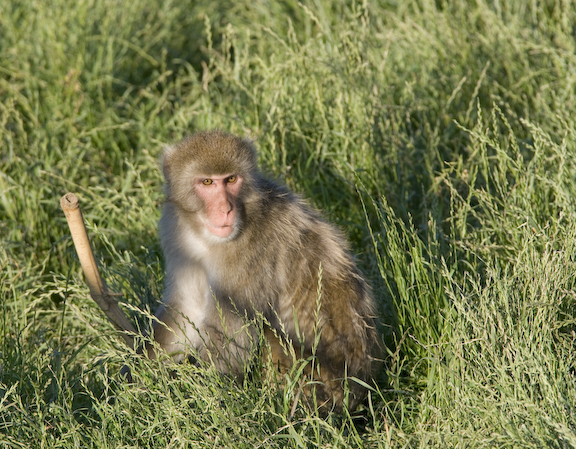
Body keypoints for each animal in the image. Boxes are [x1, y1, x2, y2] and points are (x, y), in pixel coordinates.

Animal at [151, 129, 380, 410]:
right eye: (207, 182)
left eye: (231, 179)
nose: (225, 209)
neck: (206, 237)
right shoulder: (176, 233)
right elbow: (185, 309)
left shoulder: (250, 253)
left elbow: (231, 337)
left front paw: (196, 397)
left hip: (327, 387)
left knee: (272, 340)